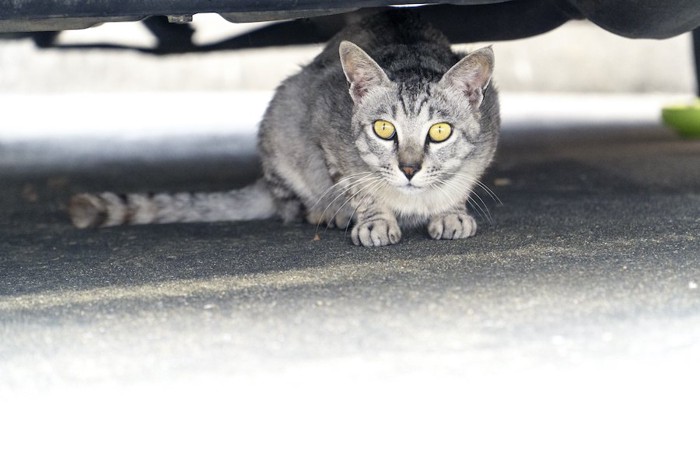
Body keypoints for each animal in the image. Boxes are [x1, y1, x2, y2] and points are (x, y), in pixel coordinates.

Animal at [69, 11, 498, 247]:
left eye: (439, 132)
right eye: (383, 129)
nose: (409, 168)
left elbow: (461, 181)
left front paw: (451, 211)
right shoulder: (326, 127)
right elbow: (357, 186)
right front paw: (373, 219)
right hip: (280, 120)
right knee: (292, 205)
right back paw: (329, 212)